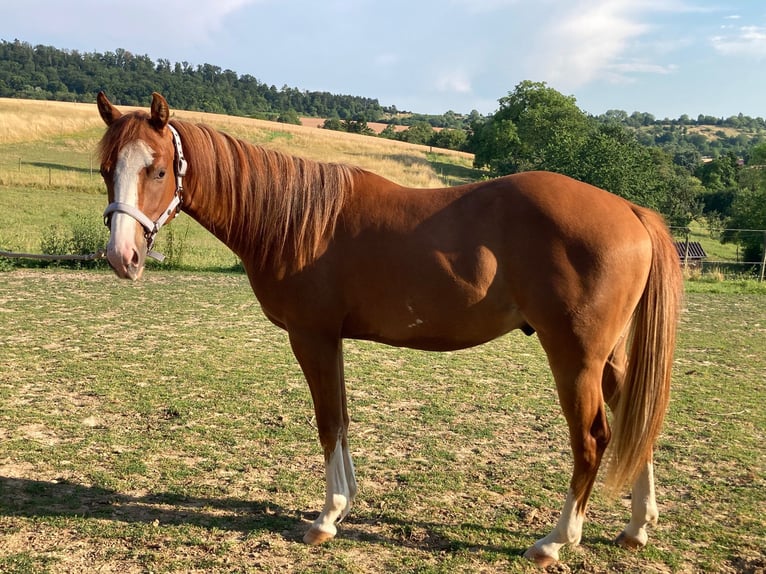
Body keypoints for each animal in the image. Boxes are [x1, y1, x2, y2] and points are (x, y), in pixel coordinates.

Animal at [95, 92, 682, 567]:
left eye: (157, 170)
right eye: (106, 170)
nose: (122, 257)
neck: (296, 220)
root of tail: (629, 210)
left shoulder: (312, 337)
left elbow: (328, 422)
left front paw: (326, 519)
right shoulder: (331, 341)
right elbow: (342, 419)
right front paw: (344, 504)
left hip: (576, 356)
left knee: (593, 439)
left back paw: (555, 542)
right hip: (607, 358)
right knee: (638, 419)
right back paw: (636, 527)